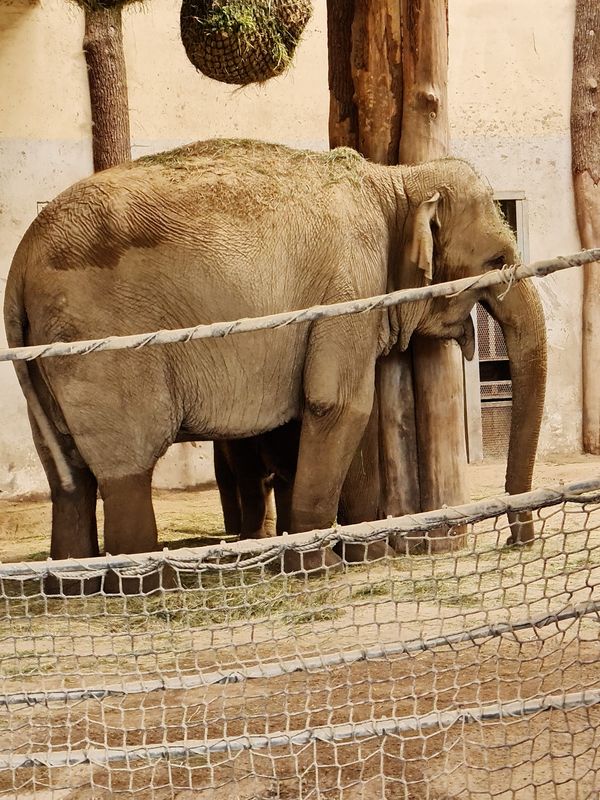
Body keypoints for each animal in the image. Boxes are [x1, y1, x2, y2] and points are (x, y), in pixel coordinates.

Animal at [3, 139, 548, 580]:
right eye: (497, 262)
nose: (518, 540)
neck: (395, 181)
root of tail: (20, 262)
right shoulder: (349, 286)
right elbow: (340, 404)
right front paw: (320, 566)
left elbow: (345, 412)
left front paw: (364, 555)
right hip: (102, 348)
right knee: (128, 464)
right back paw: (148, 582)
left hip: (45, 359)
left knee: (66, 474)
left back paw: (74, 583)